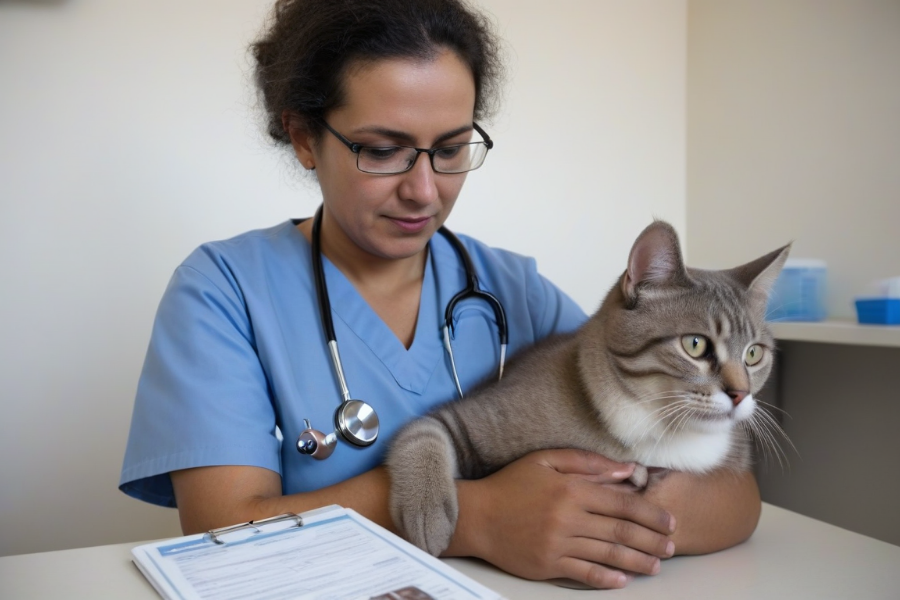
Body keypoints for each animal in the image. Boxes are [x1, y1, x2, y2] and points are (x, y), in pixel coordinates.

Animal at [384, 221, 788, 556]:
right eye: (695, 345)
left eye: (754, 354)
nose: (740, 394)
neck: (657, 429)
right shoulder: (463, 418)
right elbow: (422, 432)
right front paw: (427, 510)